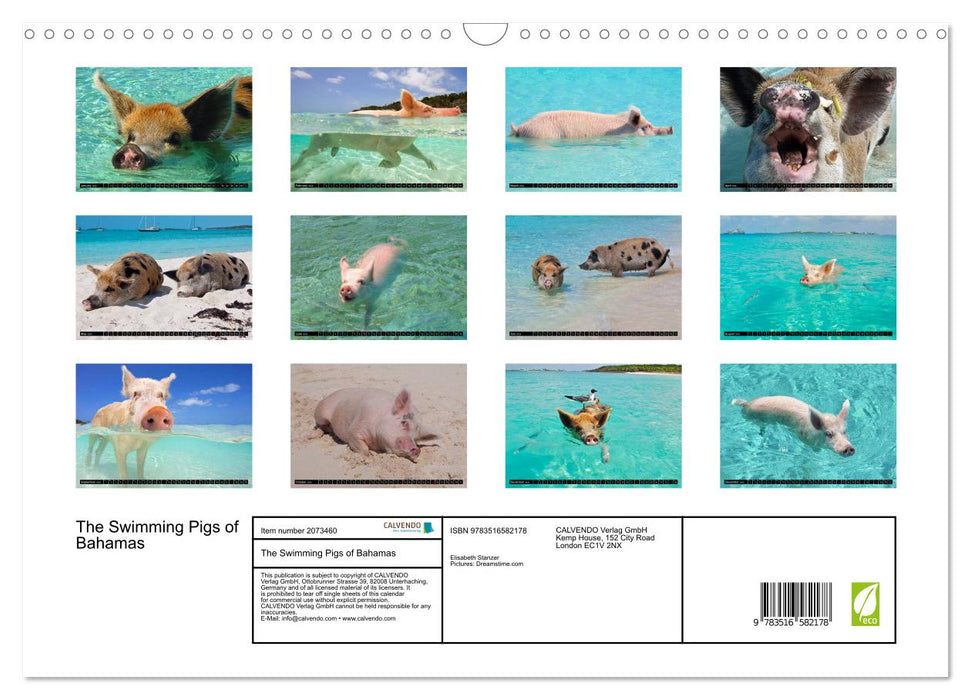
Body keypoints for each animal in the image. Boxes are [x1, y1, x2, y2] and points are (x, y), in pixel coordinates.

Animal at [293, 132, 436, 170]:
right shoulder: (386, 142)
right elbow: (395, 157)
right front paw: (383, 164)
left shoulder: (405, 143)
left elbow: (412, 150)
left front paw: (433, 166)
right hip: (322, 138)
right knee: (308, 151)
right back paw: (294, 168)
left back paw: (334, 152)